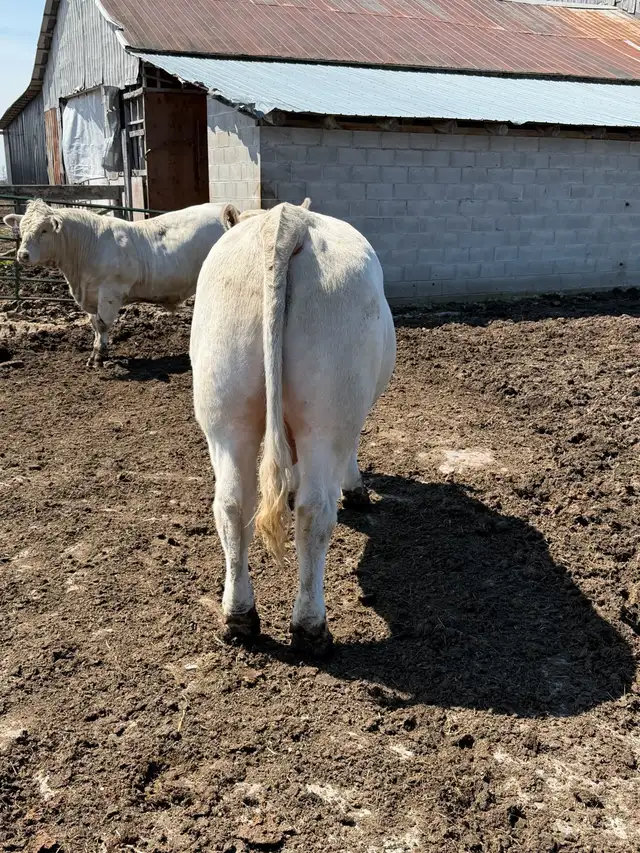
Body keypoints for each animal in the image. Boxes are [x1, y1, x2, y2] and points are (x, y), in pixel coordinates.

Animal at [3, 200, 231, 367]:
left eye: (44, 230)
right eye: (21, 228)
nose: (22, 255)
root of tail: (222, 209)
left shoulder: (110, 291)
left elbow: (103, 323)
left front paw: (98, 357)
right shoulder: (92, 296)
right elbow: (95, 324)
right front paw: (96, 353)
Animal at [190, 202, 396, 656]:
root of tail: (284, 222)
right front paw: (356, 489)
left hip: (225, 413)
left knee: (232, 504)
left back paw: (239, 617)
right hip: (329, 412)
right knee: (314, 512)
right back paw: (310, 626)